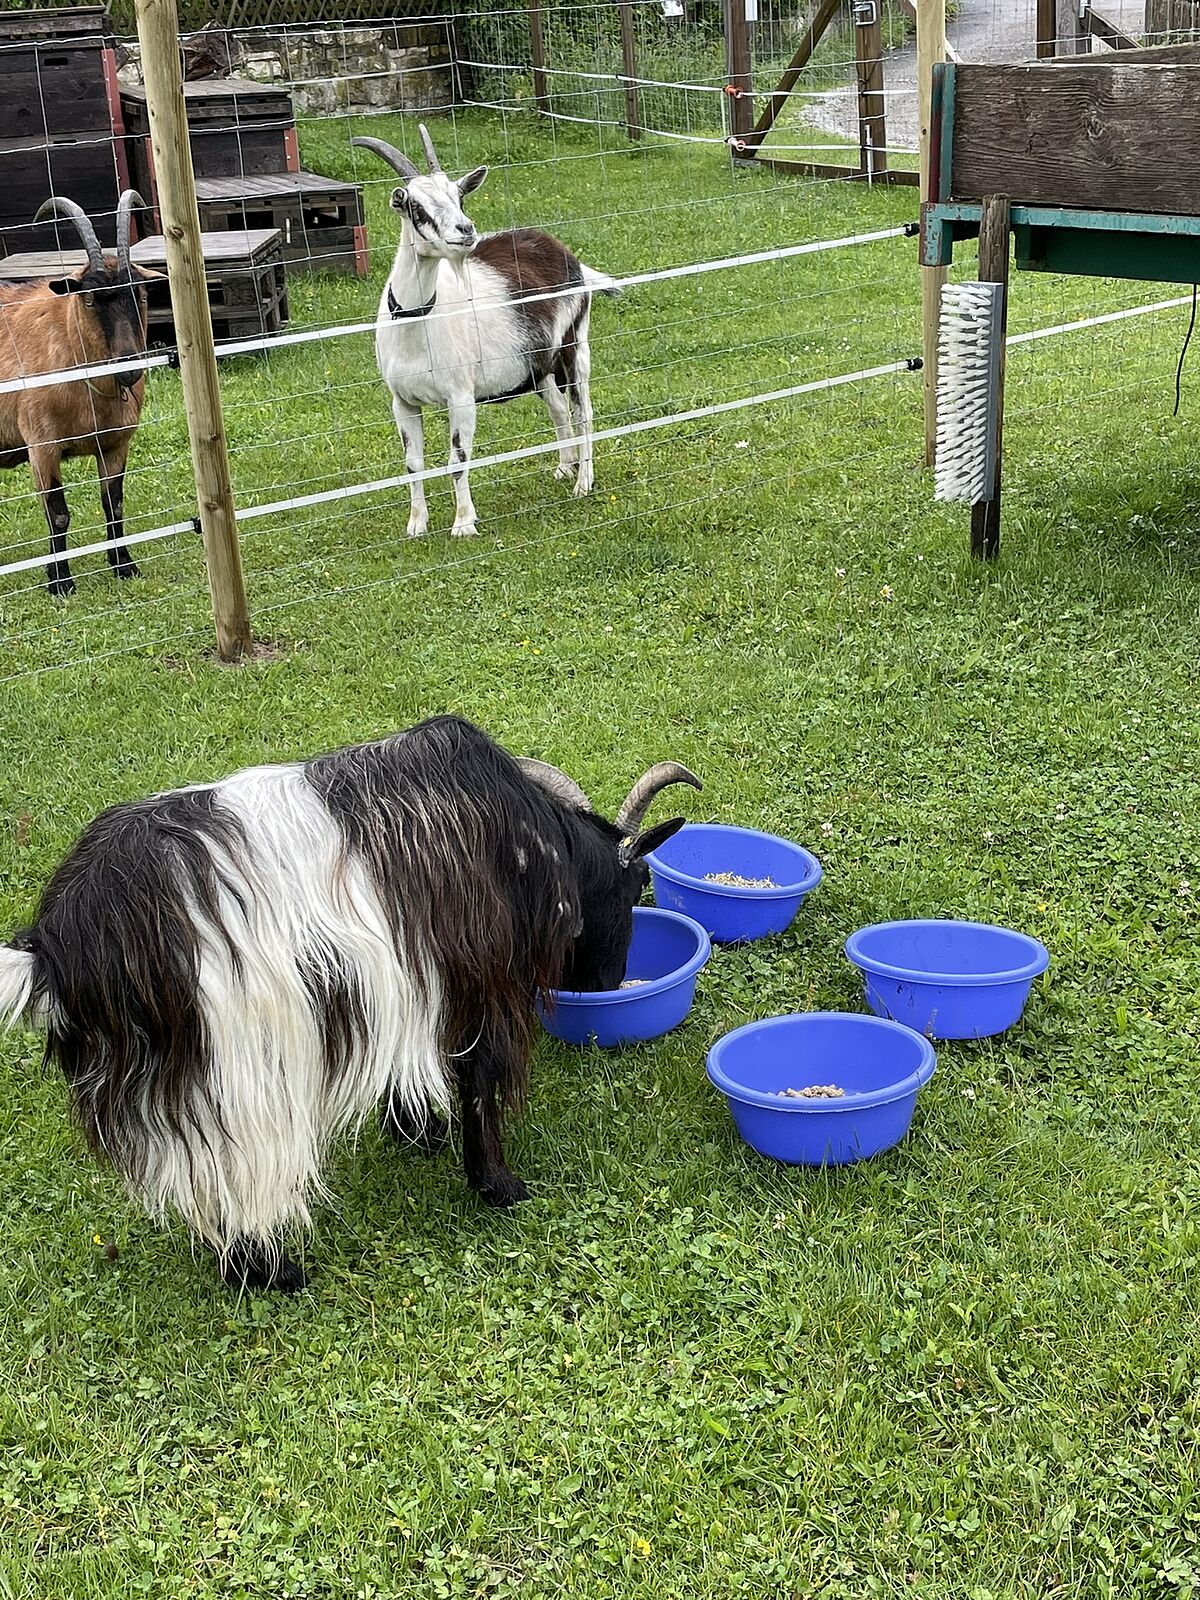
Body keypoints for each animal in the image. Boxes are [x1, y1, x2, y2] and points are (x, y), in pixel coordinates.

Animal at [0, 193, 157, 595]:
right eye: (88, 298)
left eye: (140, 292)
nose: (129, 368)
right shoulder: (41, 447)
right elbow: (57, 514)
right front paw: (60, 581)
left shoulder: (115, 444)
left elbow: (113, 504)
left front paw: (123, 565)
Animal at [355, 124, 620, 537]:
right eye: (415, 206)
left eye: (459, 195)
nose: (465, 230)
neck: (417, 323)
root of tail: (568, 255)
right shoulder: (402, 401)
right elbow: (413, 464)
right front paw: (416, 525)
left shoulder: (460, 395)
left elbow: (458, 458)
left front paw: (464, 523)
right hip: (537, 366)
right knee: (559, 409)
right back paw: (565, 467)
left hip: (575, 348)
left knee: (583, 411)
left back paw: (583, 481)